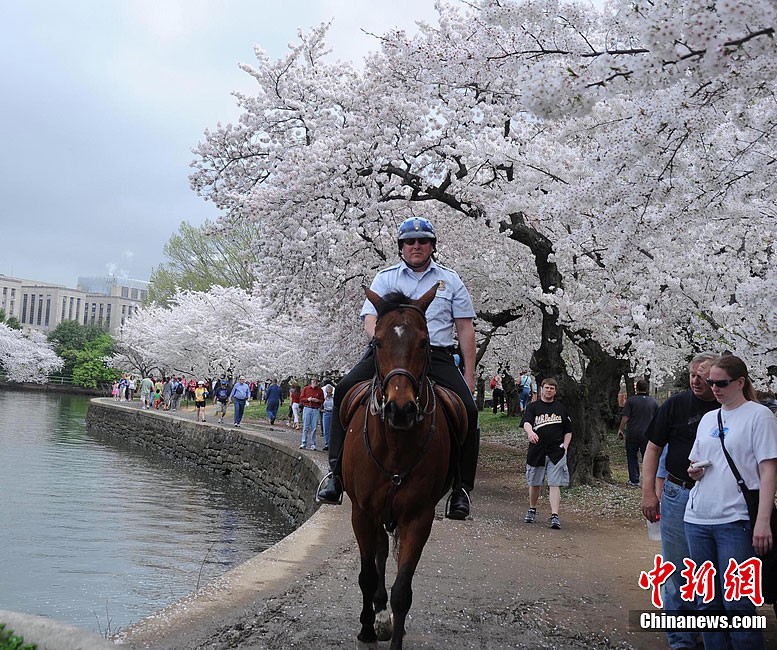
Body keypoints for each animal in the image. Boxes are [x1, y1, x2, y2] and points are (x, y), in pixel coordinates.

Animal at [342, 284, 466, 648]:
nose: (400, 409)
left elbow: (402, 591)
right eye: (378, 342)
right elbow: (367, 575)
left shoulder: (418, 517)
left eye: (424, 342)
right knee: (379, 556)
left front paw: (391, 626)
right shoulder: (361, 512)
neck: (396, 443)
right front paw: (368, 628)